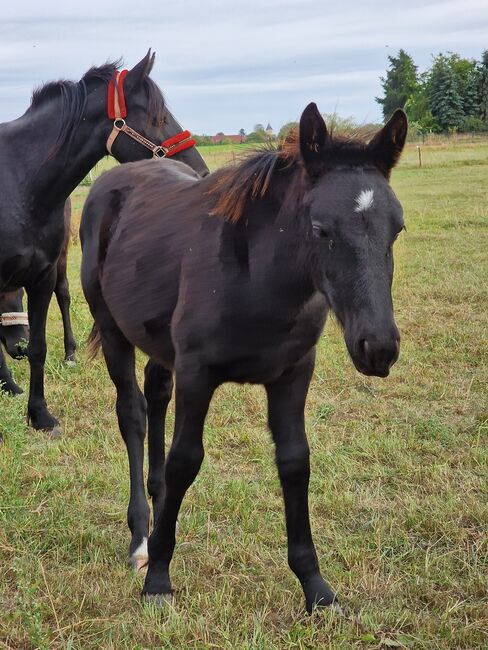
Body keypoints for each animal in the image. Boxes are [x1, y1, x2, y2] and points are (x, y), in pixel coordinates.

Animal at [0, 49, 208, 436]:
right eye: (157, 117)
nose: (200, 172)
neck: (20, 180)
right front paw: (12, 387)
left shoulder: (42, 277)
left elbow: (38, 347)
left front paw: (40, 415)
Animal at [81, 104, 408, 612]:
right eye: (322, 230)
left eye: (397, 229)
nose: (378, 348)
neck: (257, 278)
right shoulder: (197, 373)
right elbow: (185, 461)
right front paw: (158, 580)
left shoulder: (294, 374)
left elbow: (295, 462)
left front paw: (316, 588)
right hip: (115, 332)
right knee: (132, 414)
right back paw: (141, 539)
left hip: (160, 345)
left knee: (156, 397)